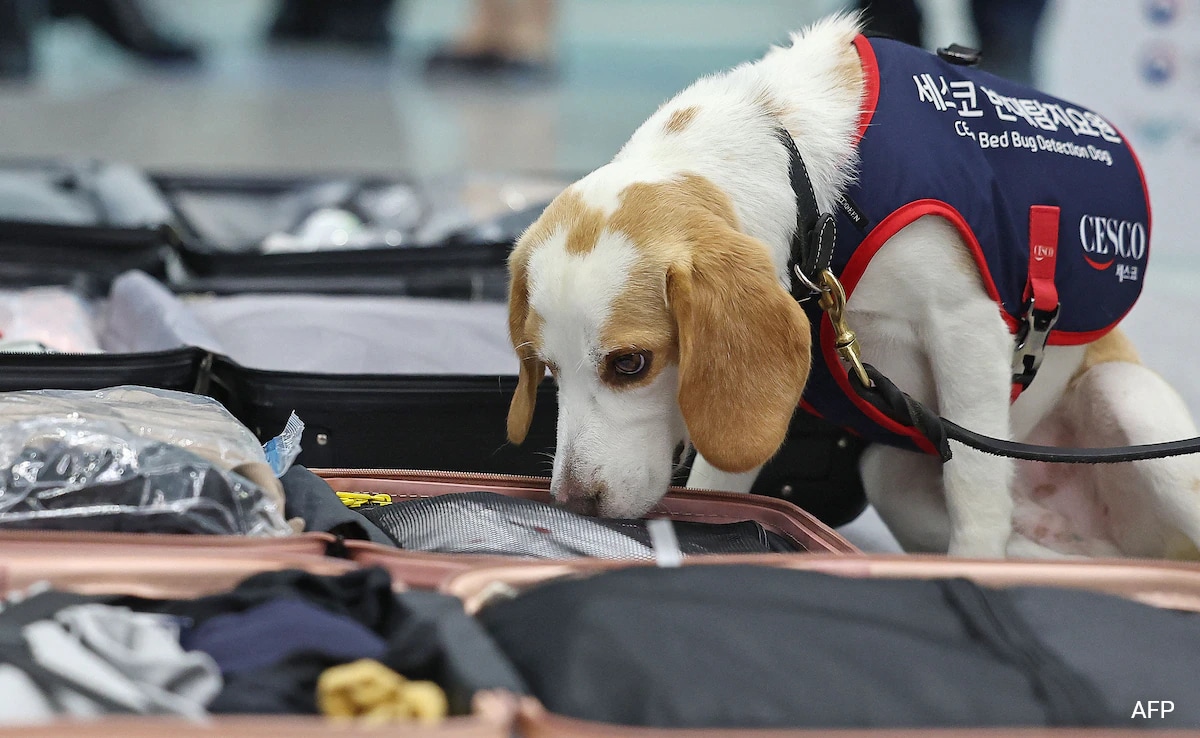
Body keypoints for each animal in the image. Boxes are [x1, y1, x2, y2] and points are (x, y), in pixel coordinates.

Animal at [501, 14, 1200, 556]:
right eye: (547, 369)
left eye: (631, 364)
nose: (574, 502)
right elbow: (720, 487)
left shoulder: (967, 328)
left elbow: (976, 492)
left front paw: (974, 566)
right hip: (892, 473)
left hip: (1128, 401)